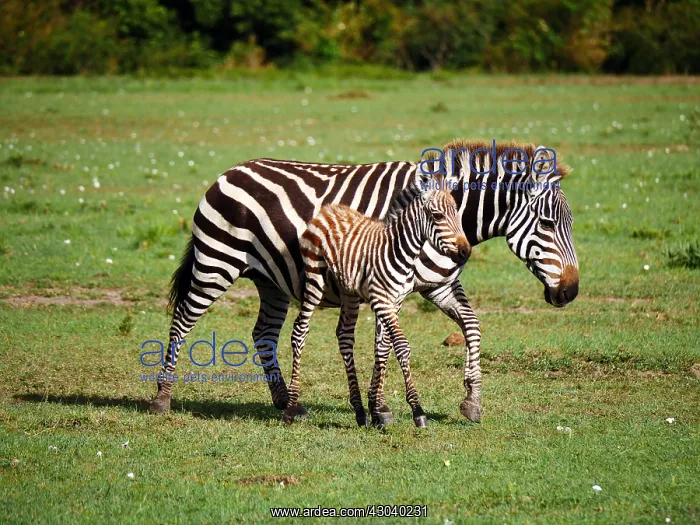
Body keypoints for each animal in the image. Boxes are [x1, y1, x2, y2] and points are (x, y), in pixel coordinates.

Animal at [285, 188, 470, 427]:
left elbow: (383, 346)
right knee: (300, 329)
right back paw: (290, 408)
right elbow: (401, 346)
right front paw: (417, 411)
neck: (401, 253)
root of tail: (329, 208)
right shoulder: (381, 299)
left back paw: (359, 411)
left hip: (349, 291)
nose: (466, 252)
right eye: (438, 216)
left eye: (458, 214)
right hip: (315, 276)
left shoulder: (395, 300)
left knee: (344, 335)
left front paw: (377, 411)